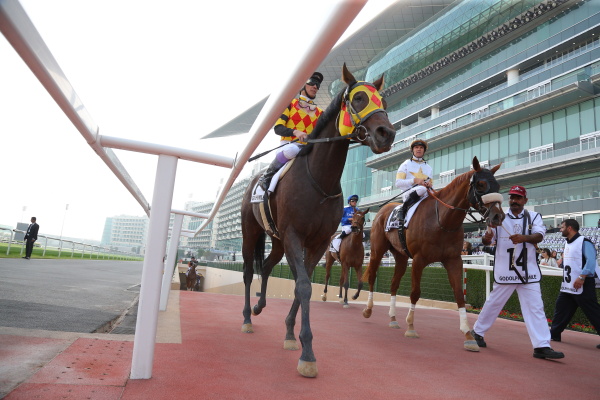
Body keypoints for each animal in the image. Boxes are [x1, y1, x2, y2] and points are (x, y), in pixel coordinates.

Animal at [241, 64, 396, 376]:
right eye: (359, 98)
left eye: (383, 101)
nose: (386, 133)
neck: (320, 181)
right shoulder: (294, 235)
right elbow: (302, 285)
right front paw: (308, 353)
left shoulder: (317, 242)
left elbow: (303, 284)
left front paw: (291, 334)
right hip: (250, 233)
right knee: (249, 272)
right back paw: (247, 318)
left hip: (276, 240)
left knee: (266, 266)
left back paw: (260, 306)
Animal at [360, 158, 506, 352]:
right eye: (481, 185)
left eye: (498, 185)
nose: (498, 216)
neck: (442, 221)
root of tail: (383, 210)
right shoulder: (419, 260)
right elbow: (415, 292)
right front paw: (411, 327)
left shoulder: (454, 260)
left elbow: (459, 294)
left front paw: (468, 335)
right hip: (377, 251)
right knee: (372, 277)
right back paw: (368, 310)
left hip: (401, 257)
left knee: (393, 284)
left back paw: (392, 319)